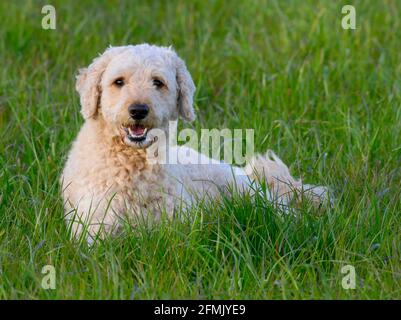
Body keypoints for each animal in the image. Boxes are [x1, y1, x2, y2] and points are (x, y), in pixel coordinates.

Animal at [60, 43, 328, 242]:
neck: (132, 165)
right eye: (119, 81)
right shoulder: (94, 230)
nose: (138, 110)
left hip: (248, 194)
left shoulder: (179, 226)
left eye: (158, 82)